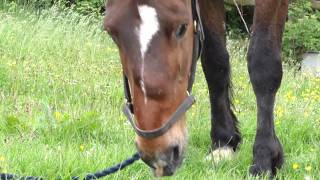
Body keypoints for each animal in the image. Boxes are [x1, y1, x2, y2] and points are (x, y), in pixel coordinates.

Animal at [104, 0, 288, 177]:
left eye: (182, 28)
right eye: (112, 33)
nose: (157, 152)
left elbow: (262, 63)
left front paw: (264, 159)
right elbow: (215, 61)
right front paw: (223, 143)